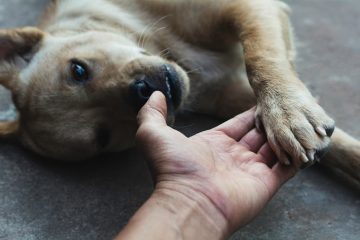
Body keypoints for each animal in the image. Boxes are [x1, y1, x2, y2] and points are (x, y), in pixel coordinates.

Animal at [0, 0, 358, 188]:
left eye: (77, 71)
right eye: (102, 137)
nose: (143, 92)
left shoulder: (247, 8)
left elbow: (260, 57)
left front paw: (286, 112)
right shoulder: (233, 95)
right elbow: (343, 147)